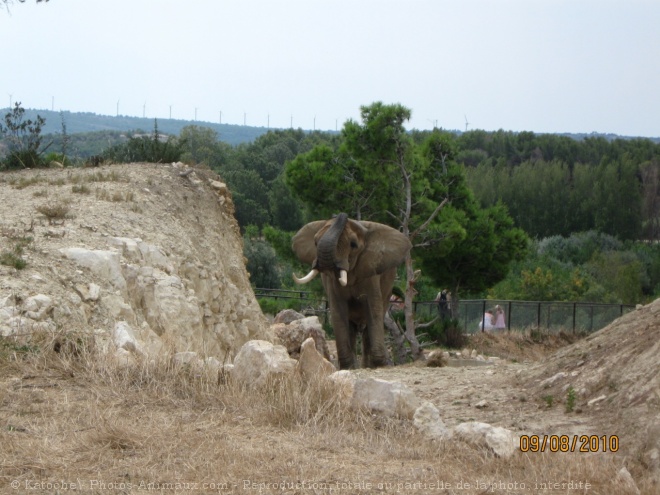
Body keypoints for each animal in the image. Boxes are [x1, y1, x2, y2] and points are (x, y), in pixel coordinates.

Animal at [292, 213, 410, 368]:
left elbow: (373, 310)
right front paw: (348, 367)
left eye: (353, 245)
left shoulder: (371, 273)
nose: (341, 215)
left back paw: (367, 366)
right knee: (351, 329)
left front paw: (379, 365)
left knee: (367, 328)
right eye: (316, 242)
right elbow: (338, 311)